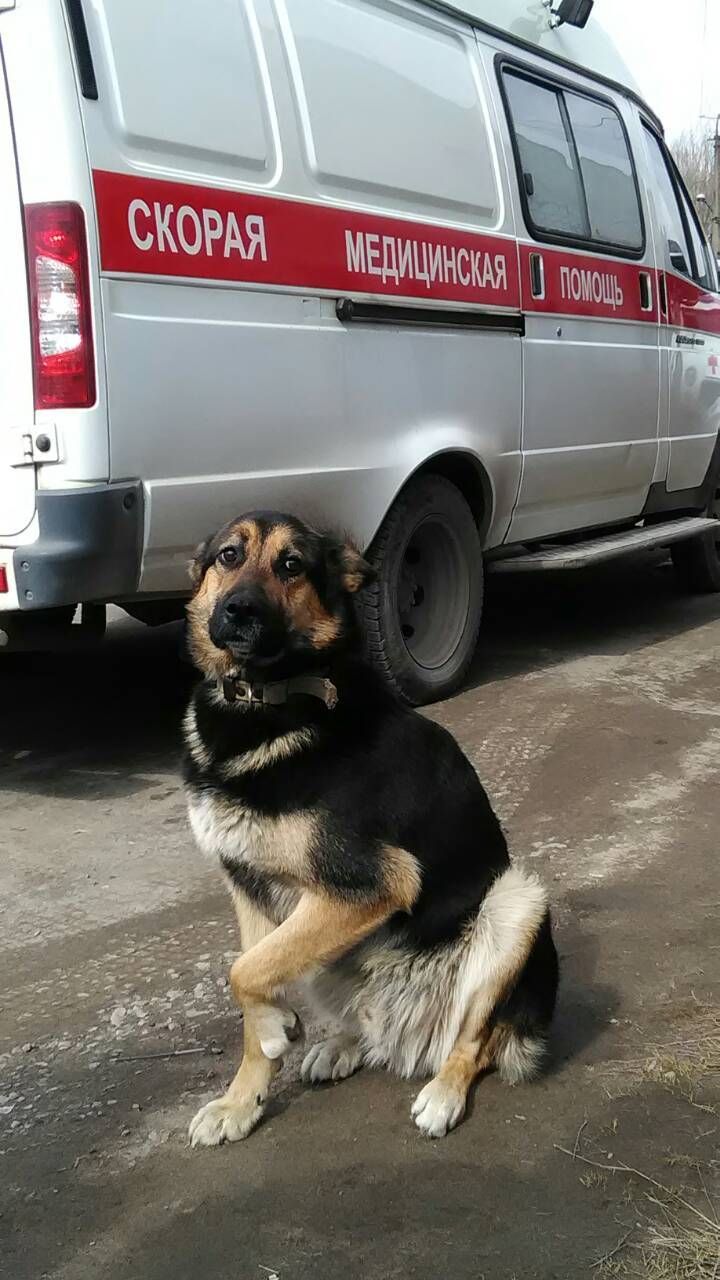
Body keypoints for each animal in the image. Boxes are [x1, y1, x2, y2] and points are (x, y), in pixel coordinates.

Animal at [181, 504, 558, 1146]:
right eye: (229, 555)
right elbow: (252, 983)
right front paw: (241, 1101)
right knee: (366, 1020)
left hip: (517, 901)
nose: (239, 610)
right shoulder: (249, 890)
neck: (266, 699)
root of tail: (411, 1038)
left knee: (476, 1040)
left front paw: (276, 1027)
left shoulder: (370, 882)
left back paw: (443, 1092)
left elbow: (242, 972)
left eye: (291, 565)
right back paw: (344, 1045)